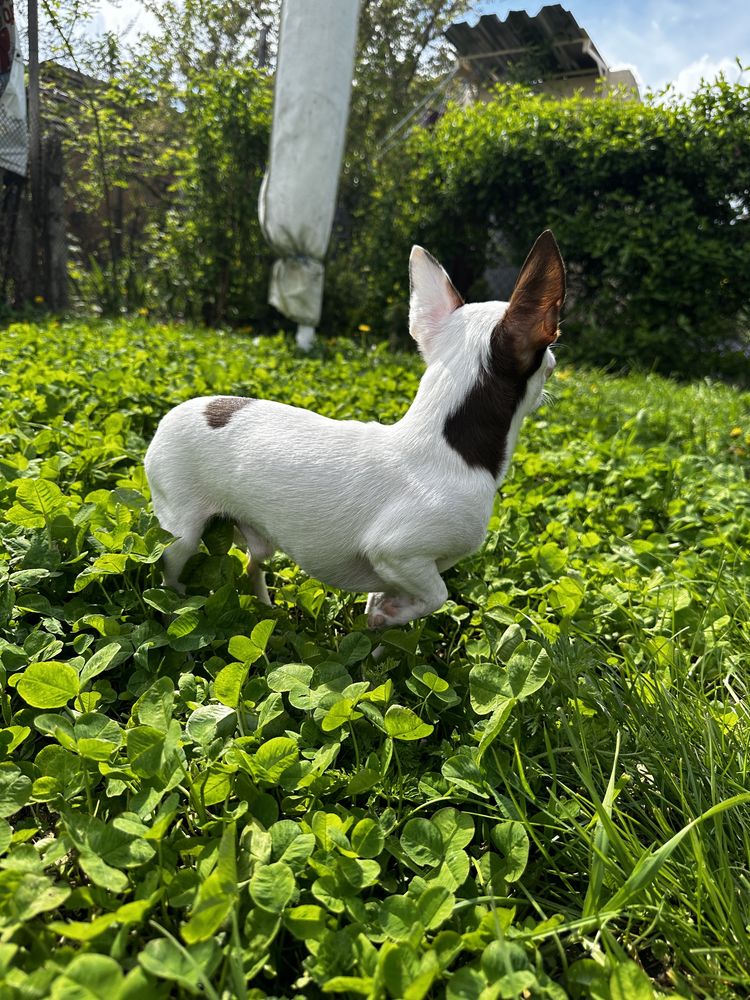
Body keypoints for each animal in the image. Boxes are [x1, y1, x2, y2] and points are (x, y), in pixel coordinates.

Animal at [145, 230, 564, 628]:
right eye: (549, 361)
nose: (554, 364)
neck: (448, 445)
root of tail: (172, 414)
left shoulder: (398, 570)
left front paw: (381, 615)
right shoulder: (396, 552)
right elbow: (437, 595)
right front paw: (390, 615)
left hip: (257, 536)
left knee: (253, 564)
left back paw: (266, 607)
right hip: (180, 533)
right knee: (170, 574)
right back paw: (176, 605)